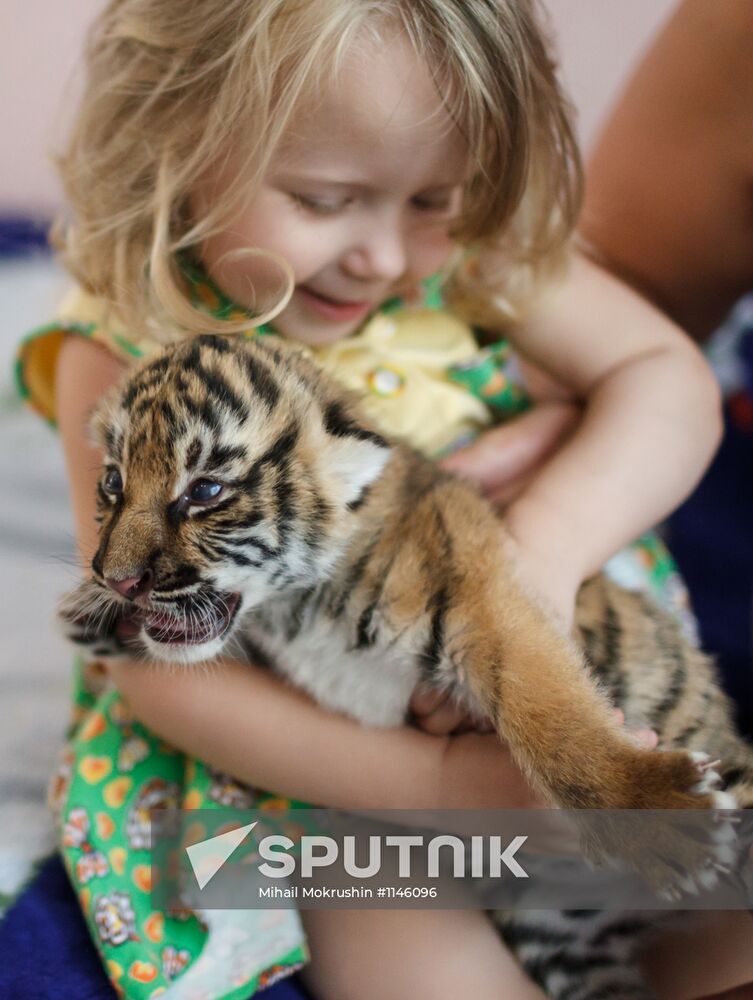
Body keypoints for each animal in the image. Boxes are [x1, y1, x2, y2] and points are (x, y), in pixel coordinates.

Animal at [59, 333, 753, 1000]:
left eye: (204, 490)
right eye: (113, 483)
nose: (116, 580)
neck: (290, 610)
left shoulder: (488, 603)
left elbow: (551, 717)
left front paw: (656, 816)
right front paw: (92, 618)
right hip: (560, 939)